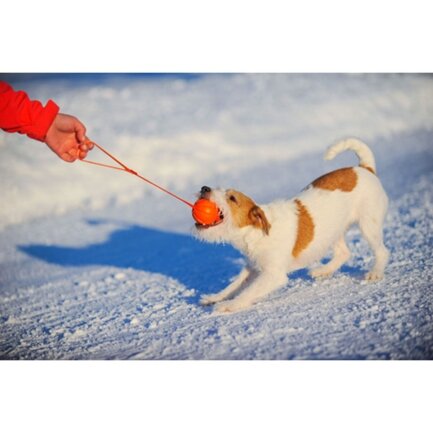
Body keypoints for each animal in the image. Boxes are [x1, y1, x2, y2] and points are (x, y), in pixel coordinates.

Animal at [192, 138, 388, 310]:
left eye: (232, 198)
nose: (204, 188)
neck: (256, 232)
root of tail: (364, 169)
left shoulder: (273, 274)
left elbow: (248, 292)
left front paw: (229, 305)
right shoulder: (253, 268)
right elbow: (234, 285)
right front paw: (215, 298)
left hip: (368, 225)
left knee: (382, 251)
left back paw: (375, 272)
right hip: (333, 231)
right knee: (344, 253)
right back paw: (323, 270)